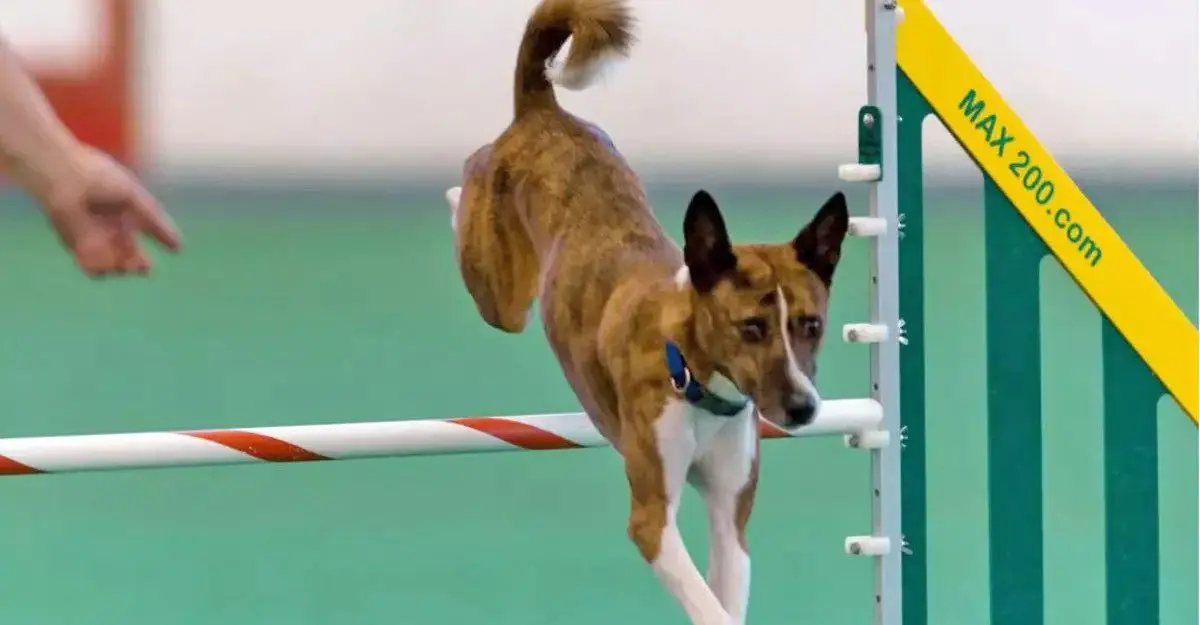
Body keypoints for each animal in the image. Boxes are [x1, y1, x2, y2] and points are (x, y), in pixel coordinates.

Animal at [446, 0, 849, 619]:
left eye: (812, 326)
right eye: (751, 328)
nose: (804, 408)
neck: (693, 377)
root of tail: (543, 110)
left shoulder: (730, 518)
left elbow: (724, 590)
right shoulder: (651, 519)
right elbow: (706, 605)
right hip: (502, 293)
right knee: (470, 196)